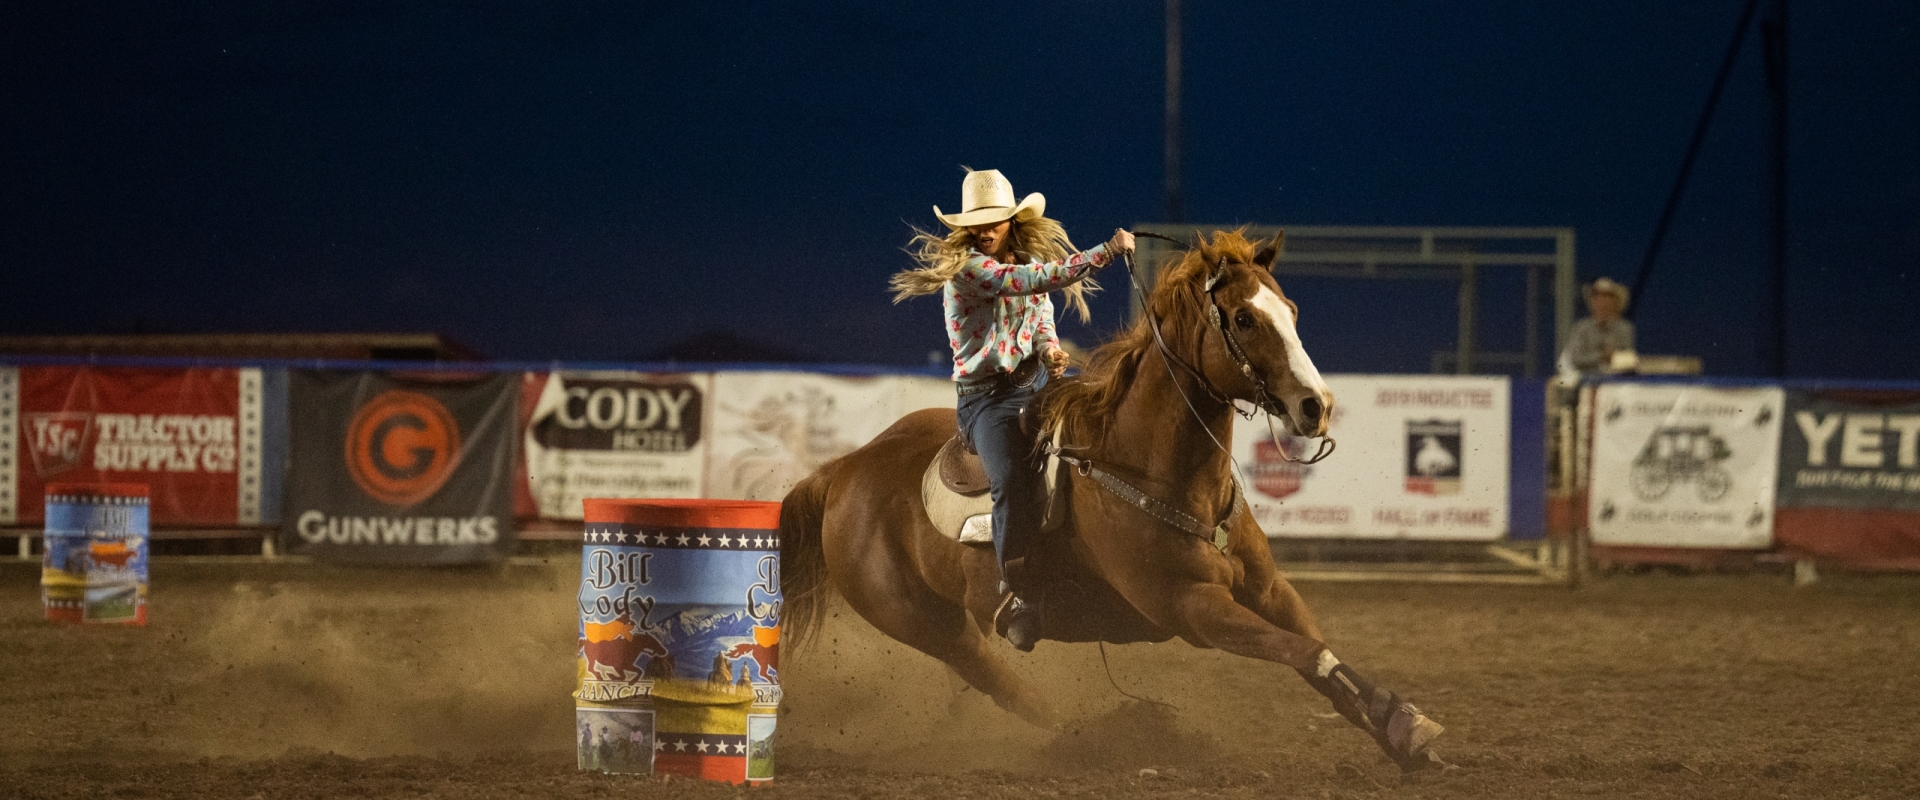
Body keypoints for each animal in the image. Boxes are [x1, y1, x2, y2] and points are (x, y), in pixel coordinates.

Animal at [775, 229, 1443, 767]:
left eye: (1292, 309)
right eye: (1244, 319)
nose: (1315, 406)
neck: (1156, 470)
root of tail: (842, 470)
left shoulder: (1267, 588)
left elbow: (1319, 651)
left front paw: (1402, 728)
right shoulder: (1191, 608)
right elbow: (1303, 651)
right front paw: (1403, 725)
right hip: (924, 622)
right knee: (996, 679)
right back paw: (1074, 739)